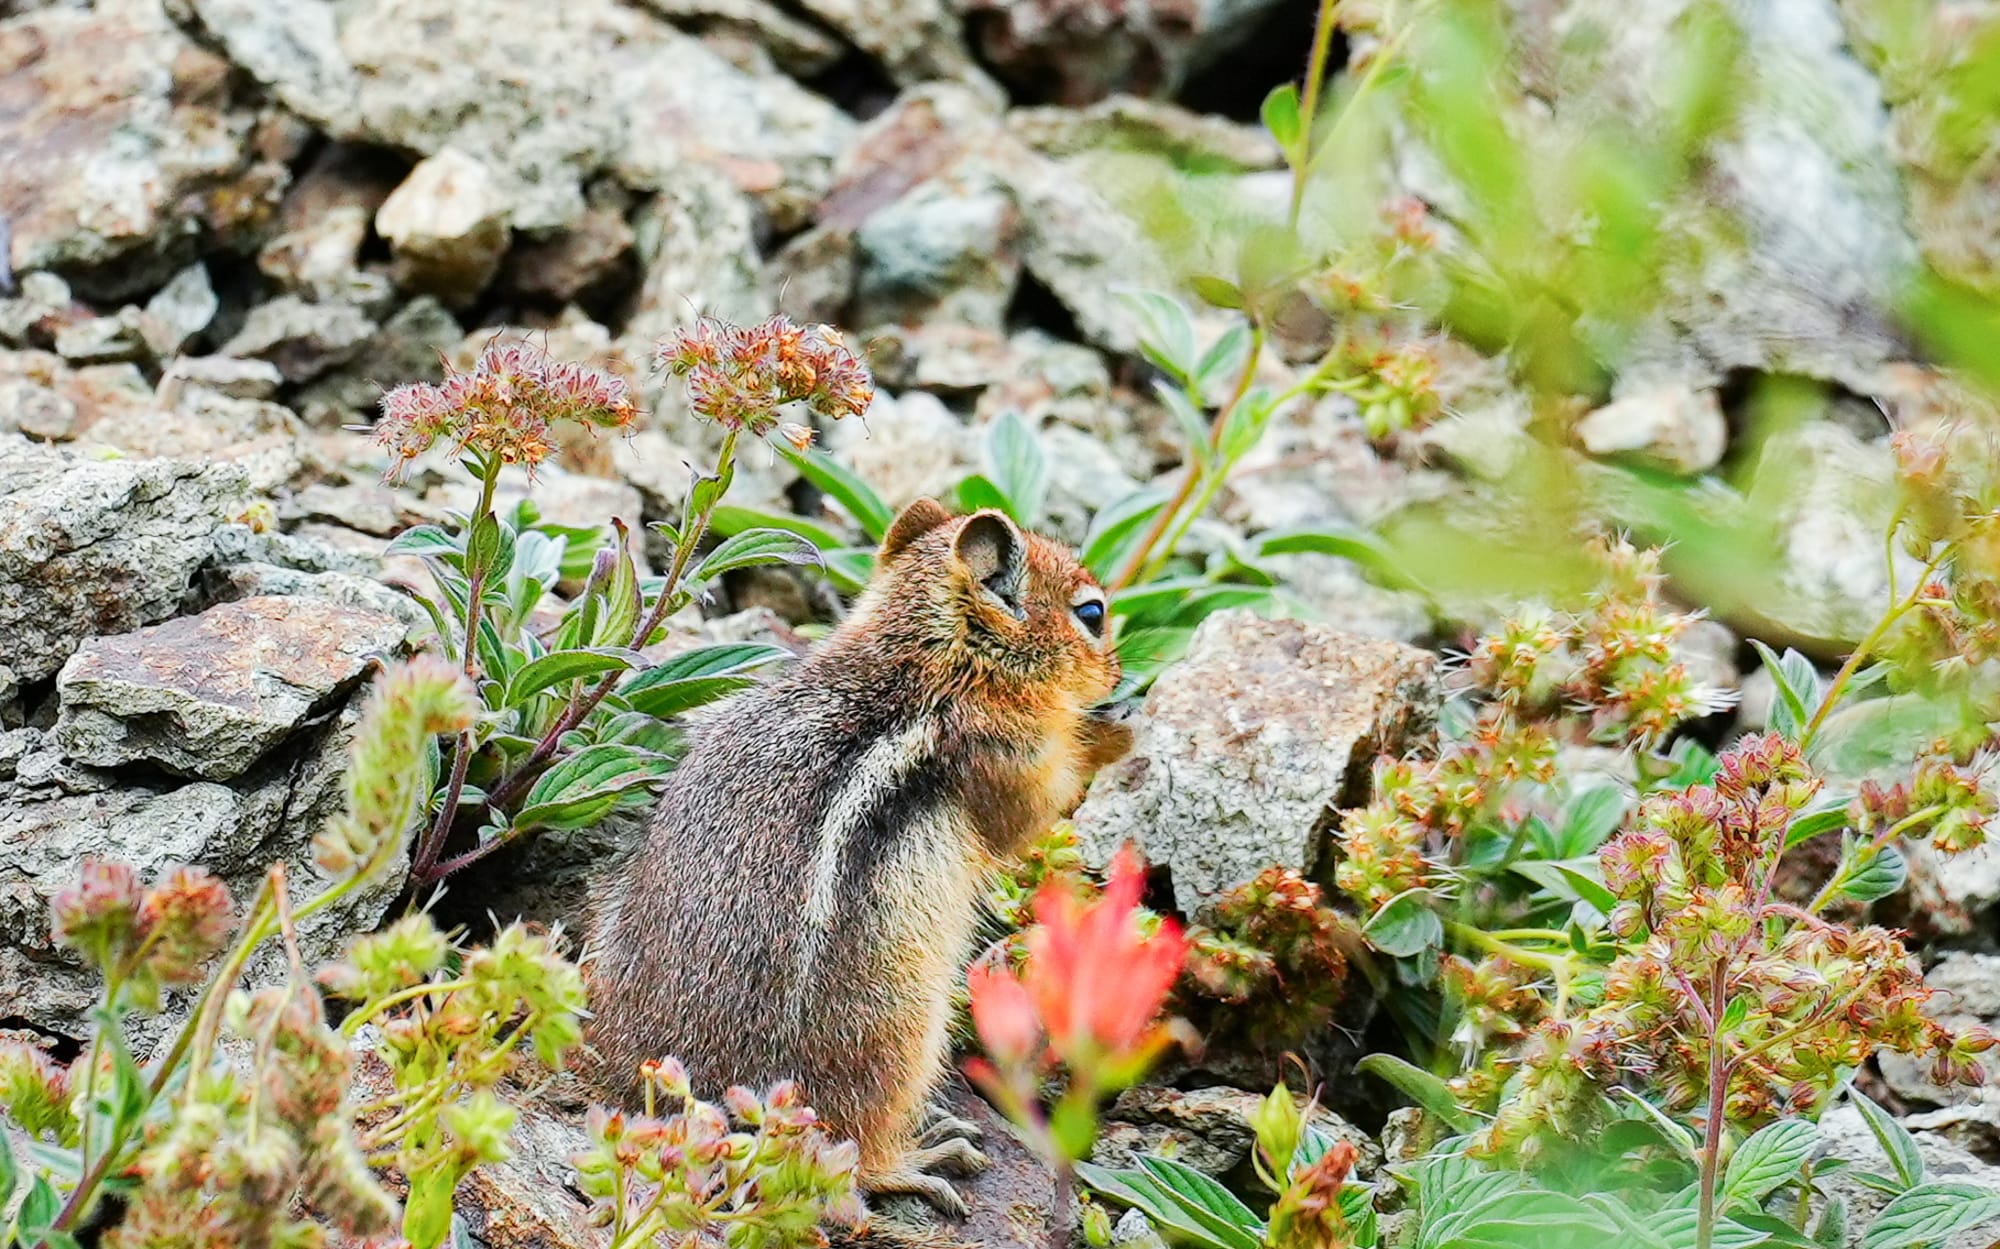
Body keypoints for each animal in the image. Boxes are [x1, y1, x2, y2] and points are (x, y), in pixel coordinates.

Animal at [581, 498, 1132, 1215]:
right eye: (1091, 613)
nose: (1118, 673)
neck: (921, 661)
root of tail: (710, 1112)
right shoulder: (1009, 758)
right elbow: (1037, 810)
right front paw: (1111, 734)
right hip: (901, 1033)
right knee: (849, 1152)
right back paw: (921, 1157)